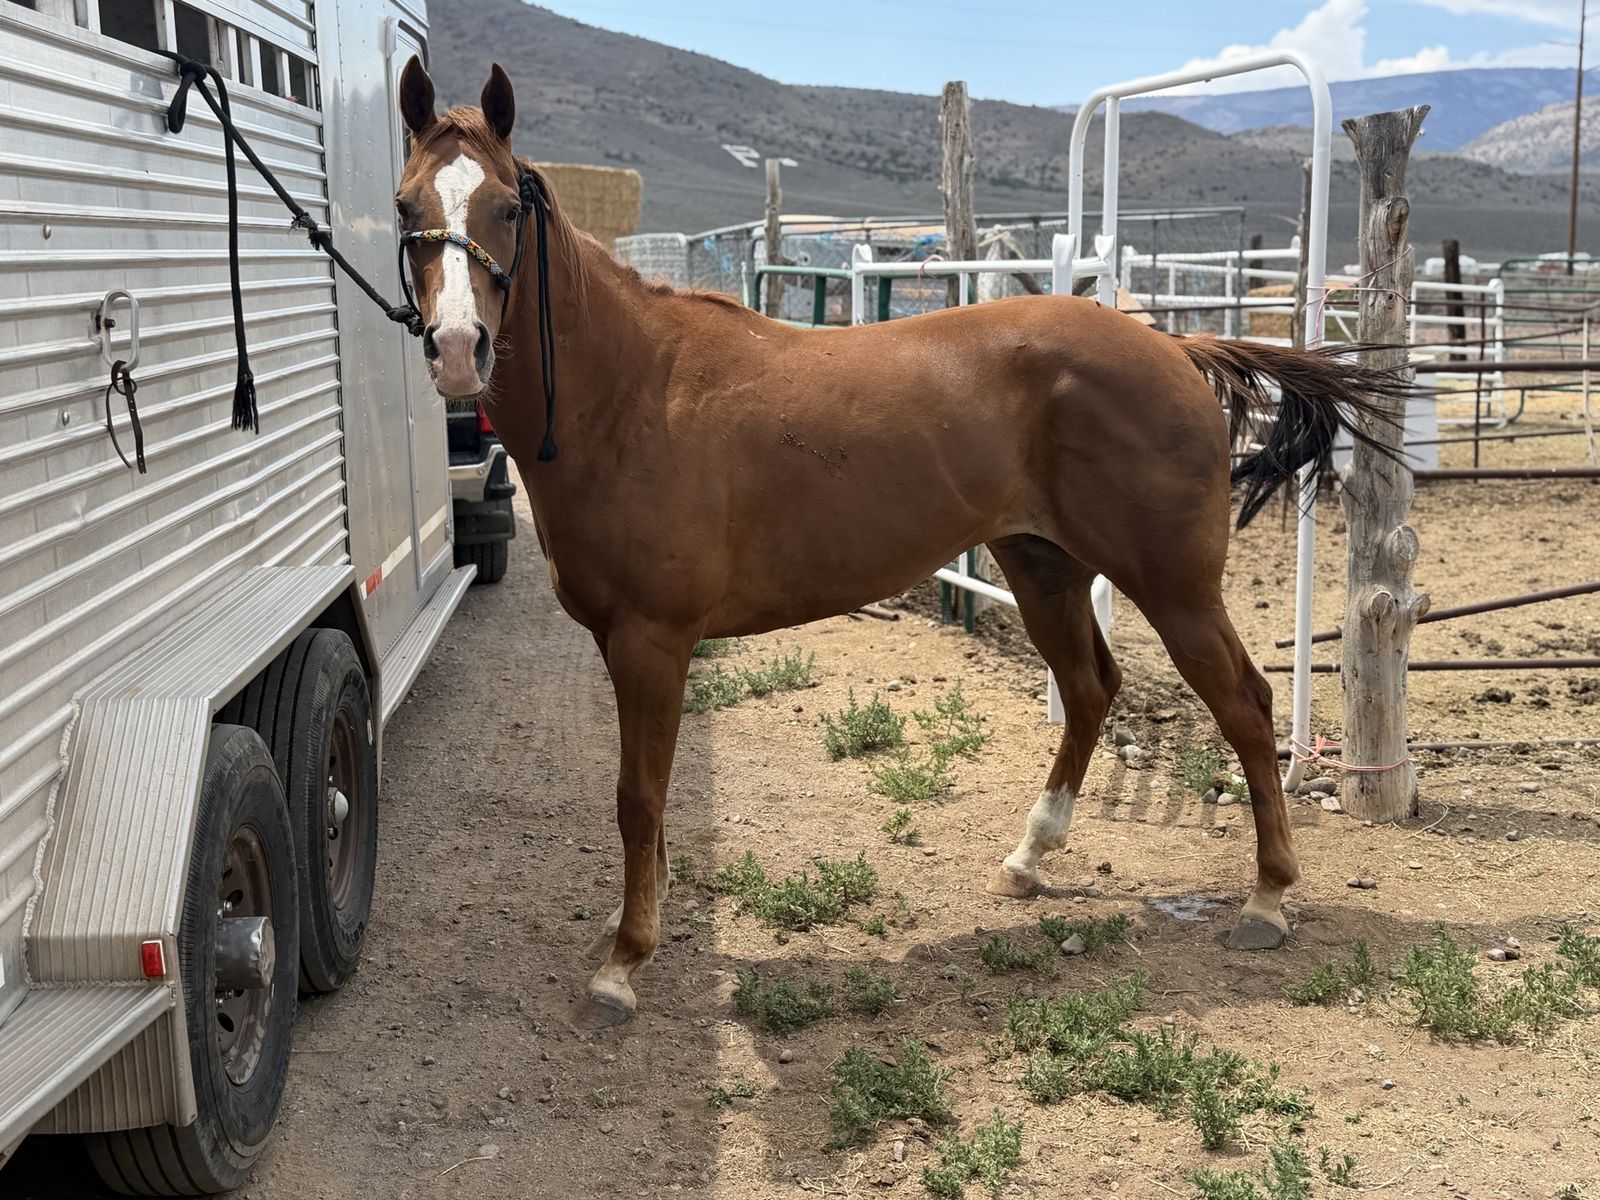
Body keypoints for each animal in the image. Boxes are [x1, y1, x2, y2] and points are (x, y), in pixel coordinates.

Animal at [394, 59, 1403, 1025]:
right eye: (406, 207)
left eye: (507, 206)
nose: (457, 349)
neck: (631, 393)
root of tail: (1177, 351)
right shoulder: (622, 643)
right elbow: (646, 797)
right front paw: (636, 916)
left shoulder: (653, 641)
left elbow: (638, 797)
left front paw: (623, 964)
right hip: (1042, 568)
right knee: (1090, 690)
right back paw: (1029, 857)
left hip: (1174, 586)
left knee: (1244, 705)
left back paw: (1267, 900)